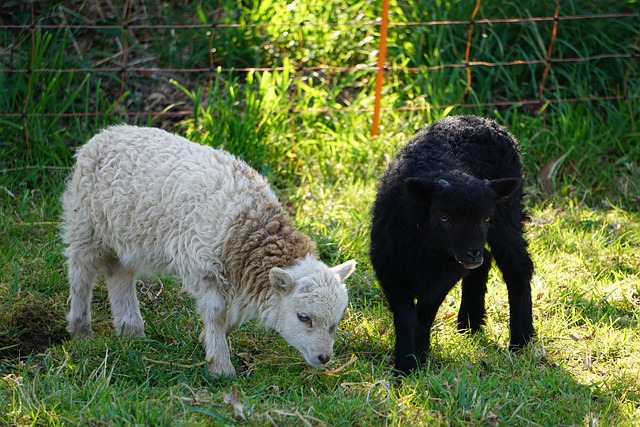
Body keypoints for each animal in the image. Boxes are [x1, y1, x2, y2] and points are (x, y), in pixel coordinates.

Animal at [61, 126, 356, 378]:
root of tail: (102, 135)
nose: (324, 358)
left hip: (125, 234)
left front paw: (209, 341)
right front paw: (220, 366)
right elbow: (216, 314)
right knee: (81, 274)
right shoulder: (204, 265)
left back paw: (130, 329)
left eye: (335, 322)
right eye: (303, 317)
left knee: (119, 274)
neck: (248, 227)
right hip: (86, 223)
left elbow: (231, 317)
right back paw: (80, 328)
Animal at [370, 114, 536, 374]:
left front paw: (418, 355)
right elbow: (405, 314)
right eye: (445, 217)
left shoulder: (446, 275)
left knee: (517, 267)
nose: (472, 254)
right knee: (488, 261)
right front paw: (406, 363)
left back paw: (521, 339)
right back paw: (470, 321)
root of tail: (482, 120)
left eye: (486, 218)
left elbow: (425, 312)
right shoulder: (391, 270)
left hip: (508, 214)